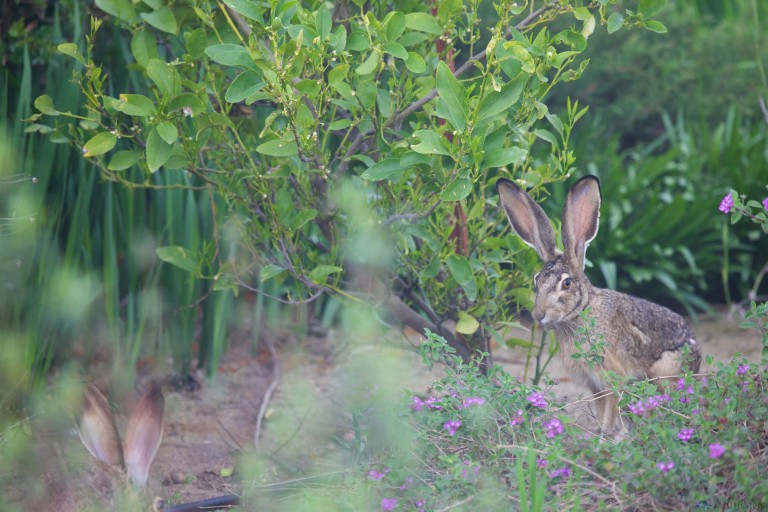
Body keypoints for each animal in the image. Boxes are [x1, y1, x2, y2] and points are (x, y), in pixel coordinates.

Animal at [496, 175, 701, 433]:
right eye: (536, 281)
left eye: (566, 283)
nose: (538, 314)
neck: (582, 312)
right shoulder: (595, 386)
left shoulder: (613, 379)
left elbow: (608, 420)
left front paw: (604, 439)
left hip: (663, 374)